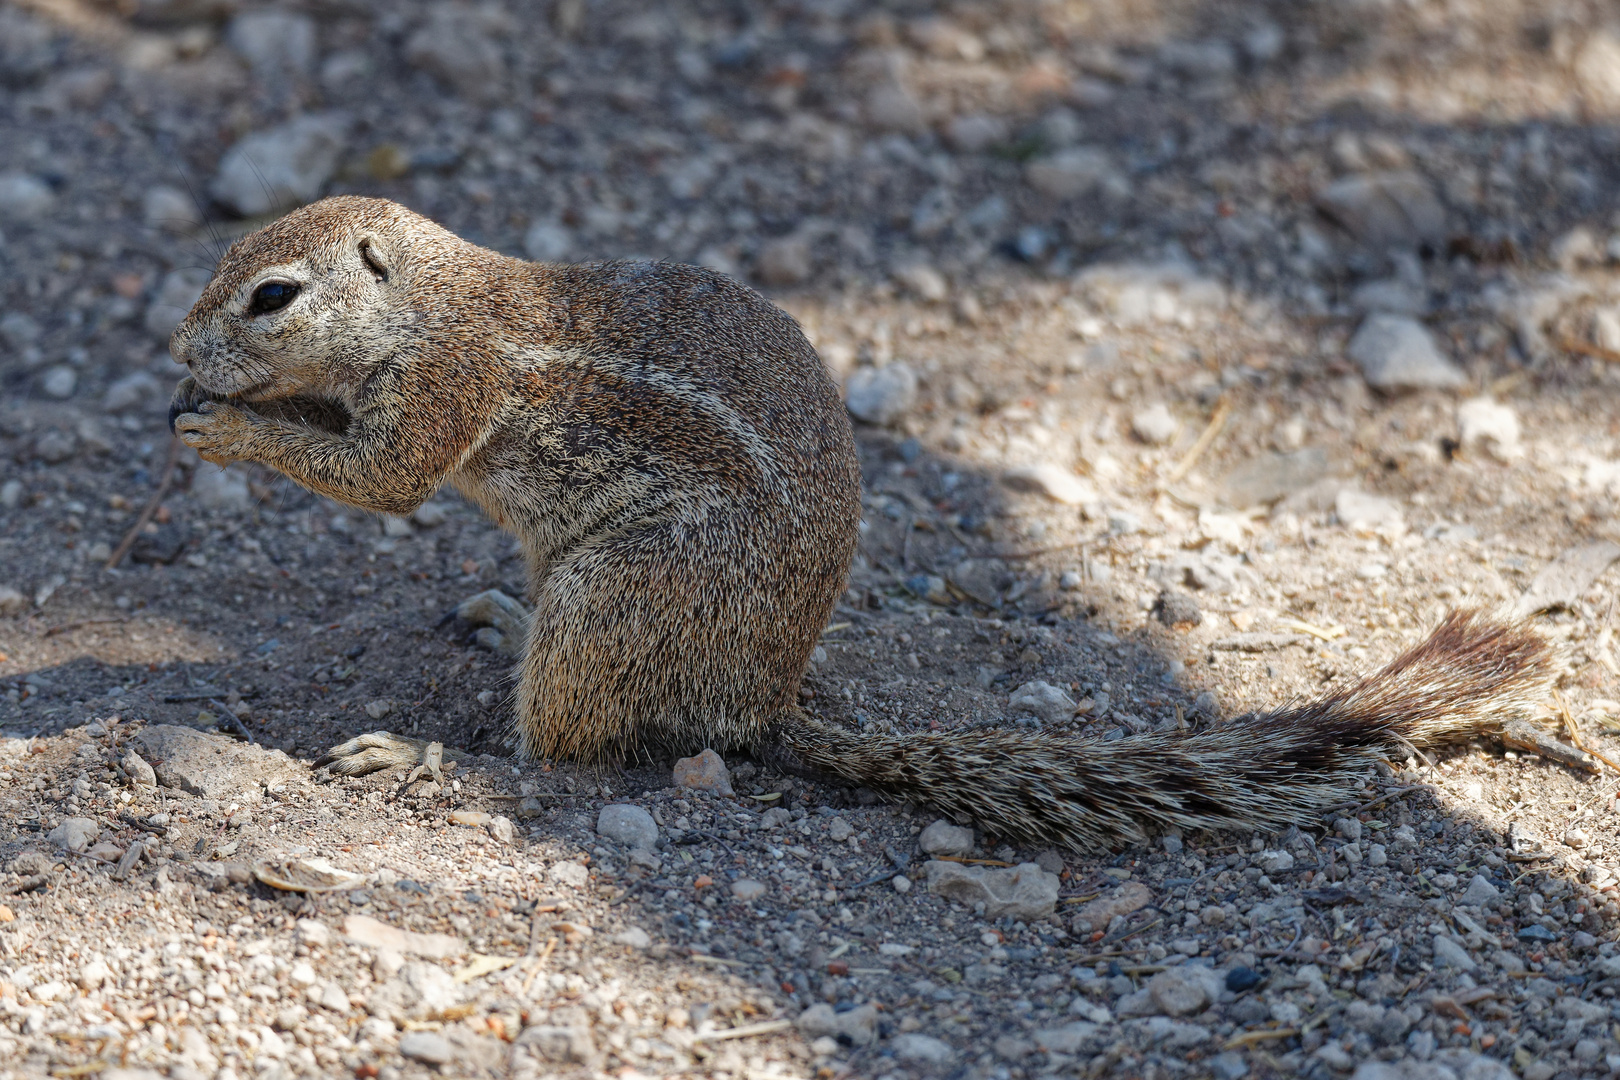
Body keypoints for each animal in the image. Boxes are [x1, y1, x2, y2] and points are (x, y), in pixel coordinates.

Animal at [170, 194, 1561, 854]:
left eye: (271, 293)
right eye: (224, 259)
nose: (175, 348)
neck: (428, 301)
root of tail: (759, 701)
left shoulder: (446, 385)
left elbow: (384, 476)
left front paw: (224, 428)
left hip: (626, 589)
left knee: (559, 751)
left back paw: (428, 753)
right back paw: (495, 609)